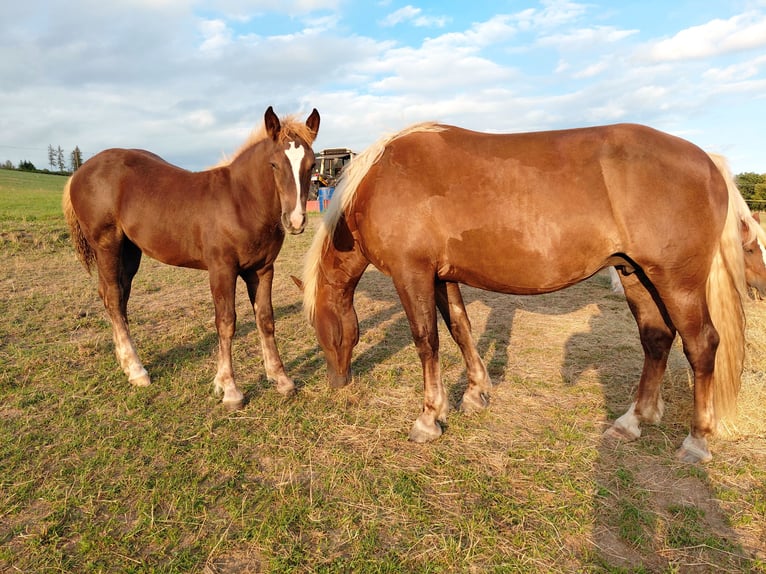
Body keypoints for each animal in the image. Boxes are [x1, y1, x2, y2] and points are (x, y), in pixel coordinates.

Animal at [63, 106, 320, 407]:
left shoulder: (263, 269)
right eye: (274, 164)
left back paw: (126, 364)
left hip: (130, 252)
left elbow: (266, 319)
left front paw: (281, 379)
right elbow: (226, 322)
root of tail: (79, 172)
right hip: (107, 245)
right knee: (113, 297)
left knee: (117, 296)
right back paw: (138, 371)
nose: (295, 221)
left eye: (312, 165)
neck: (241, 202)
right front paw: (229, 389)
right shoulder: (222, 269)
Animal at [302, 121, 750, 464]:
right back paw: (633, 420)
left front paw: (429, 417)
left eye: (325, 333)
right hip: (636, 275)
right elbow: (461, 328)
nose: (337, 383)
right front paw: (476, 393)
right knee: (657, 338)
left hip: (677, 282)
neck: (380, 181)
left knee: (702, 345)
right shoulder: (442, 276)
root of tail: (708, 160)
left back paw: (696, 440)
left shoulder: (412, 273)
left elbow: (427, 340)